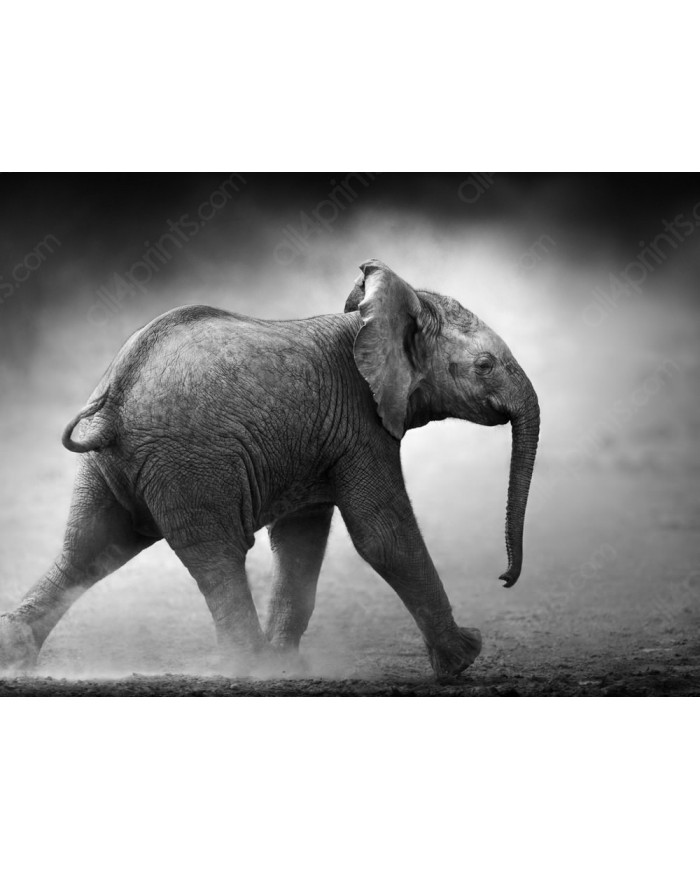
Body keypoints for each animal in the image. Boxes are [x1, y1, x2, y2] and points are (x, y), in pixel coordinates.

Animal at [0, 259, 539, 680]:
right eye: (485, 366)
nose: (504, 579)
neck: (372, 319)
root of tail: (115, 394)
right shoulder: (362, 424)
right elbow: (383, 535)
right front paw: (466, 656)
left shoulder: (323, 438)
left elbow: (301, 540)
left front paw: (289, 667)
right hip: (192, 461)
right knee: (216, 554)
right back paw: (249, 667)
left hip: (116, 463)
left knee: (91, 548)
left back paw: (14, 659)